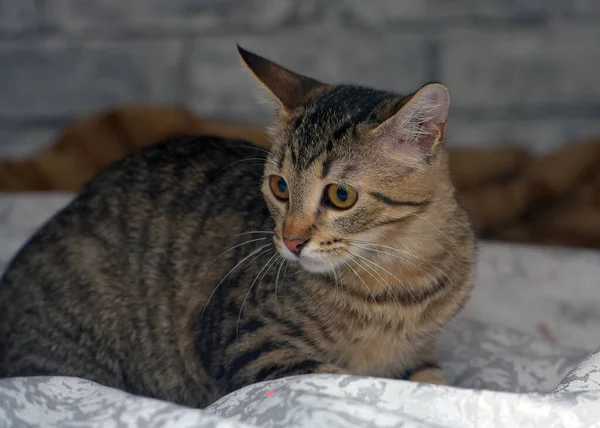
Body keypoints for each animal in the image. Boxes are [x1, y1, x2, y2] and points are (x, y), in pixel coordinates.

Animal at [0, 46, 478, 408]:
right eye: (279, 186)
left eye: (341, 195)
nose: (291, 240)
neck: (394, 283)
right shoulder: (246, 341)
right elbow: (330, 378)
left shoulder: (420, 354)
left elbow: (433, 384)